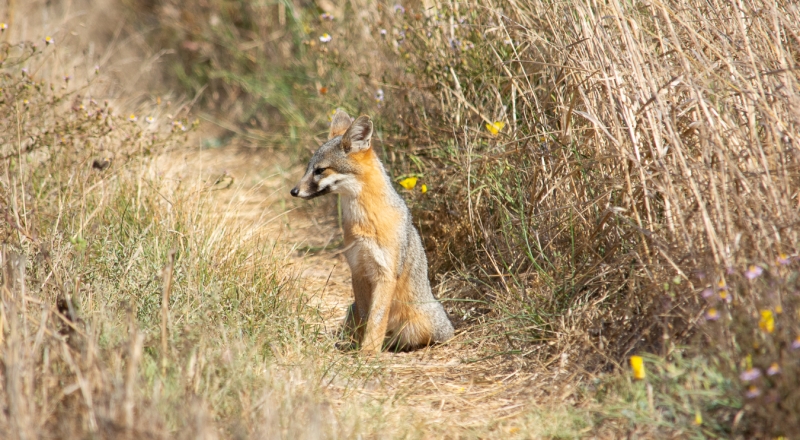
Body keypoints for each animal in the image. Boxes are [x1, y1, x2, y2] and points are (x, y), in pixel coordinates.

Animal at [290, 110, 454, 354]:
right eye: (307, 169)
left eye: (320, 171)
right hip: (352, 308)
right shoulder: (357, 270)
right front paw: (360, 347)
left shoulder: (385, 273)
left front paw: (368, 352)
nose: (293, 191)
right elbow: (366, 317)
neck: (365, 222)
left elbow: (376, 319)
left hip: (422, 325)